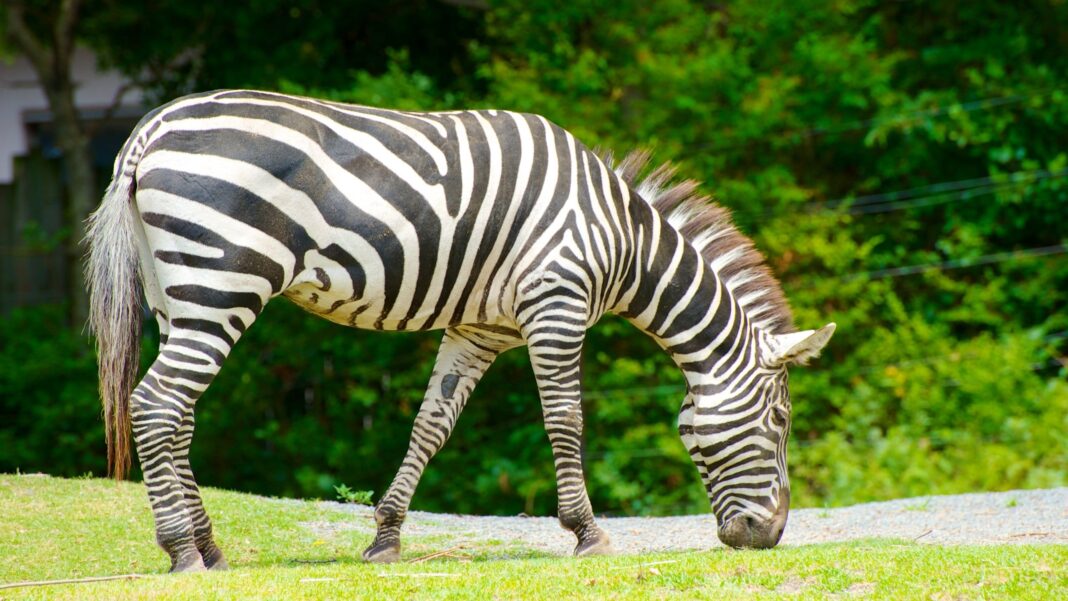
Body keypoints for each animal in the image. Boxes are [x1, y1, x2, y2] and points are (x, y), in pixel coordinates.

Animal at [86, 89, 834, 572]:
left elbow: (432, 424)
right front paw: (588, 533)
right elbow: (566, 419)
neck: (623, 239)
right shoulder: (556, 303)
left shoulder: (480, 328)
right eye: (781, 421)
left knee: (177, 413)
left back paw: (209, 547)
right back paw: (182, 550)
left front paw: (386, 538)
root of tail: (148, 131)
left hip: (177, 294)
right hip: (223, 280)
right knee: (156, 405)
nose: (767, 537)